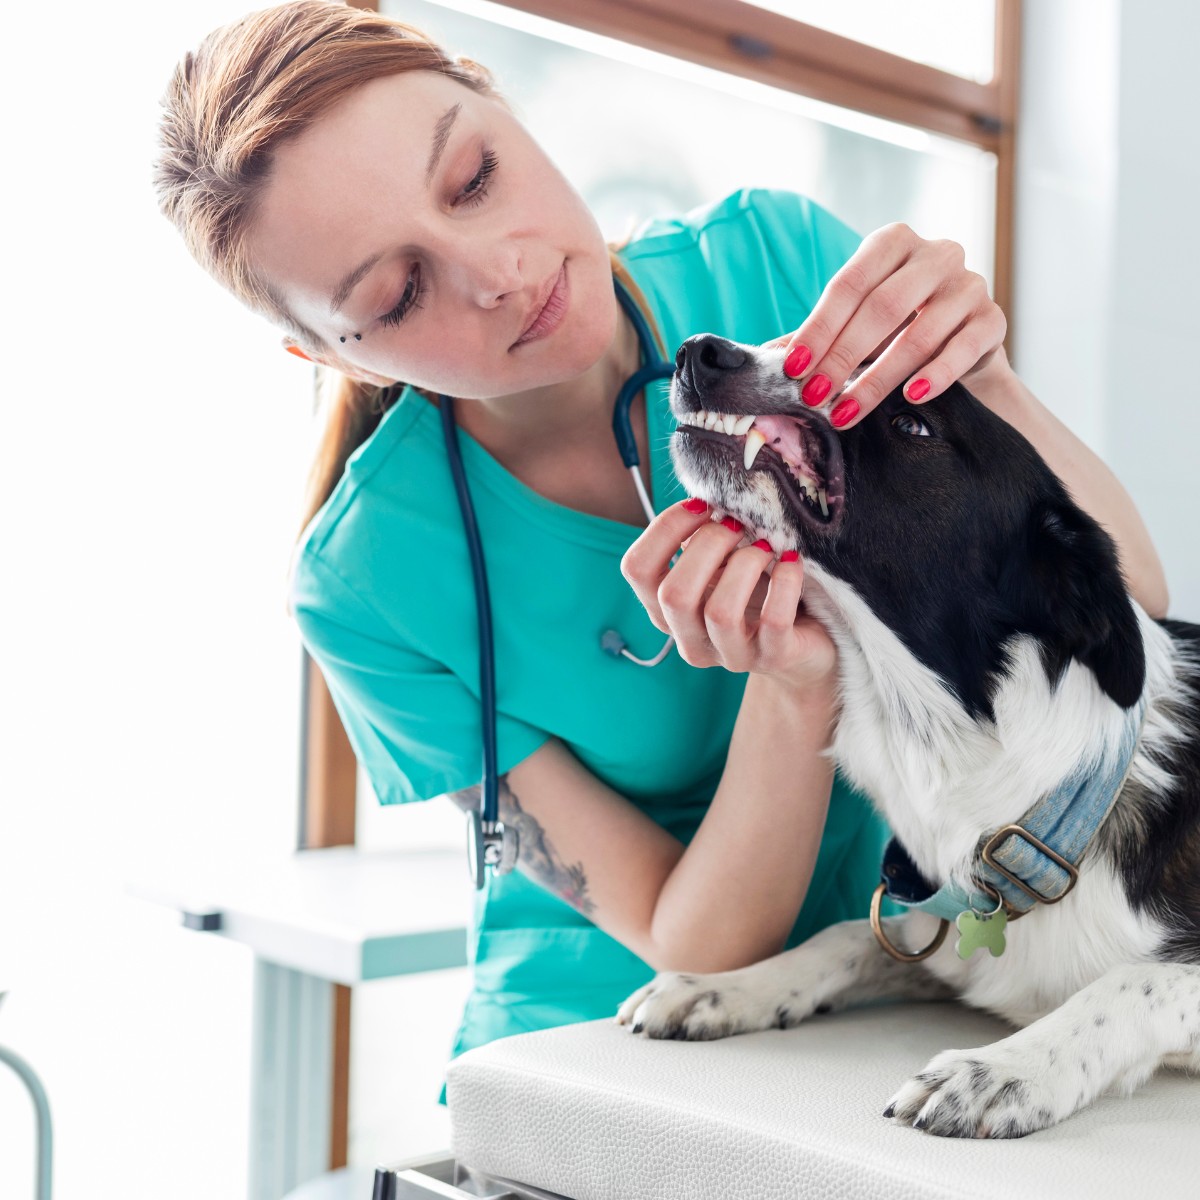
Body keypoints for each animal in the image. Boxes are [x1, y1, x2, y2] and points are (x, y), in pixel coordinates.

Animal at [619, 333, 1200, 1137]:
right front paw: (725, 986)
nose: (701, 351)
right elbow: (847, 933)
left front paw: (1004, 1070)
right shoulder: (945, 942)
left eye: (913, 423)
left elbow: (1132, 983)